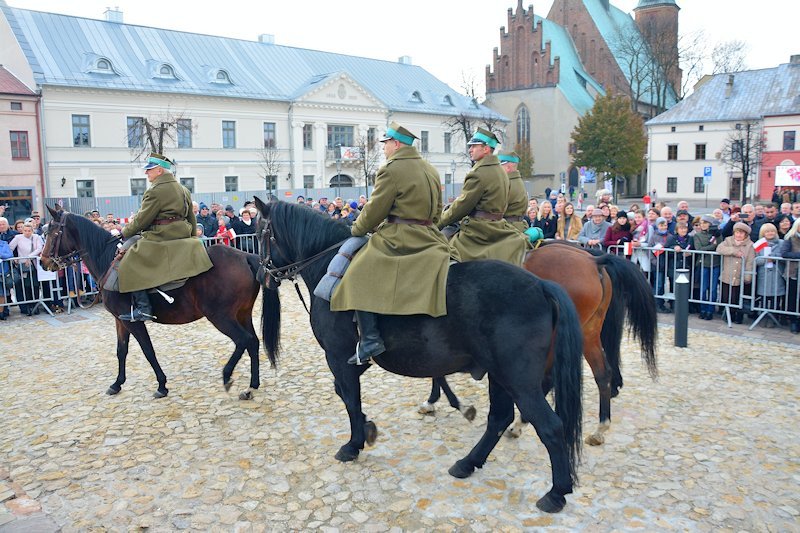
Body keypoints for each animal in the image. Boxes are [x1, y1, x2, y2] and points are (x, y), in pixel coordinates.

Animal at [39, 206, 282, 396]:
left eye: (53, 231)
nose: (42, 262)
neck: (108, 260)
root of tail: (245, 256)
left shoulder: (133, 321)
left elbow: (148, 351)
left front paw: (162, 385)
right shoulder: (120, 320)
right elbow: (121, 351)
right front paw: (117, 384)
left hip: (221, 317)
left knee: (244, 340)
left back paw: (227, 375)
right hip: (242, 314)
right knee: (253, 342)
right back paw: (252, 385)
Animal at [253, 197, 584, 512]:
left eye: (258, 233)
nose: (260, 275)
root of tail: (541, 285)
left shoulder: (337, 356)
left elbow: (349, 398)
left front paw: (354, 444)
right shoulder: (353, 361)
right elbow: (345, 393)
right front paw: (368, 427)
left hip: (518, 379)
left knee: (550, 426)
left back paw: (556, 493)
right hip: (500, 376)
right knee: (499, 418)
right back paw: (468, 463)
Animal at [422, 241, 660, 444]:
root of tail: (594, 261)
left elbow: (437, 371)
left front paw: (440, 402)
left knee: (550, 379)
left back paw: (520, 424)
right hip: (587, 332)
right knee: (602, 373)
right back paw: (600, 427)